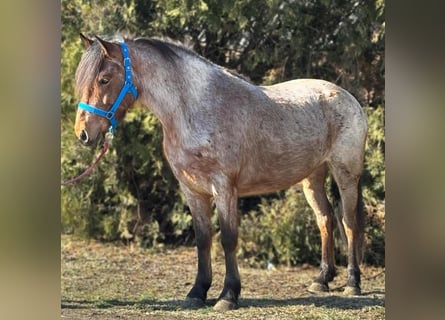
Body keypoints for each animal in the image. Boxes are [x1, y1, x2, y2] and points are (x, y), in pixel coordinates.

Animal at [71, 33, 366, 312]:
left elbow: (228, 238)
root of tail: (347, 97)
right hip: (312, 178)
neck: (195, 109)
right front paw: (197, 292)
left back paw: (353, 283)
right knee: (325, 219)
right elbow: (203, 239)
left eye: (105, 79)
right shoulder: (192, 191)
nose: (83, 133)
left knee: (349, 223)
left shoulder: (224, 188)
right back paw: (322, 280)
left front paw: (228, 296)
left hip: (346, 175)